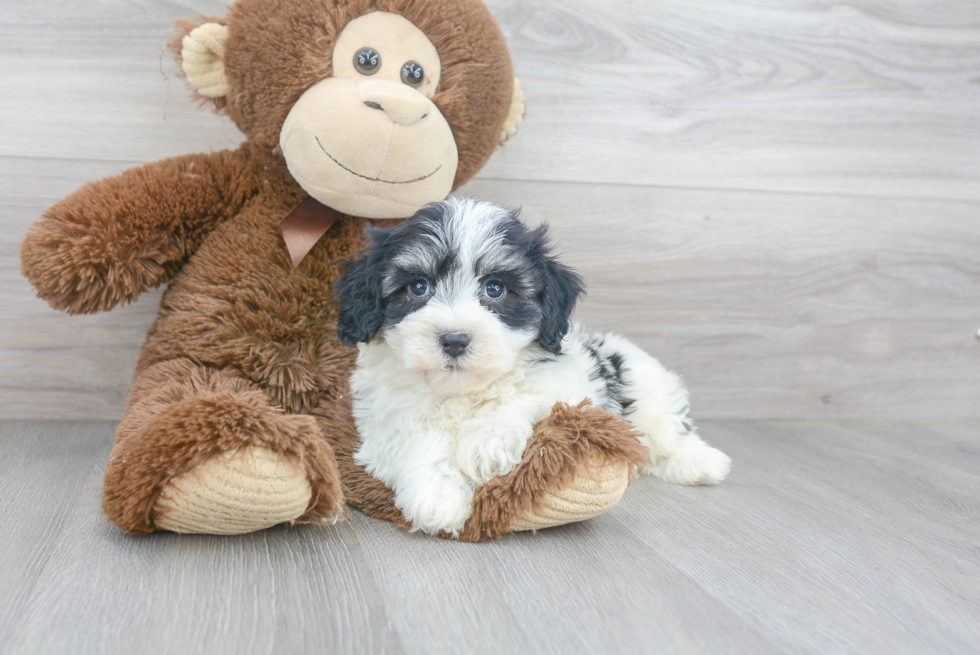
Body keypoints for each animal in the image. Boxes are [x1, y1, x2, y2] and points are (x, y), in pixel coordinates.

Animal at [336, 200, 728, 540]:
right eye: (419, 287)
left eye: (495, 289)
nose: (454, 340)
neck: (460, 390)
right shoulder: (383, 421)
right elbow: (416, 442)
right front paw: (437, 498)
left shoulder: (570, 386)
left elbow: (524, 395)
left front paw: (486, 443)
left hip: (647, 389)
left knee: (667, 432)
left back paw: (702, 462)